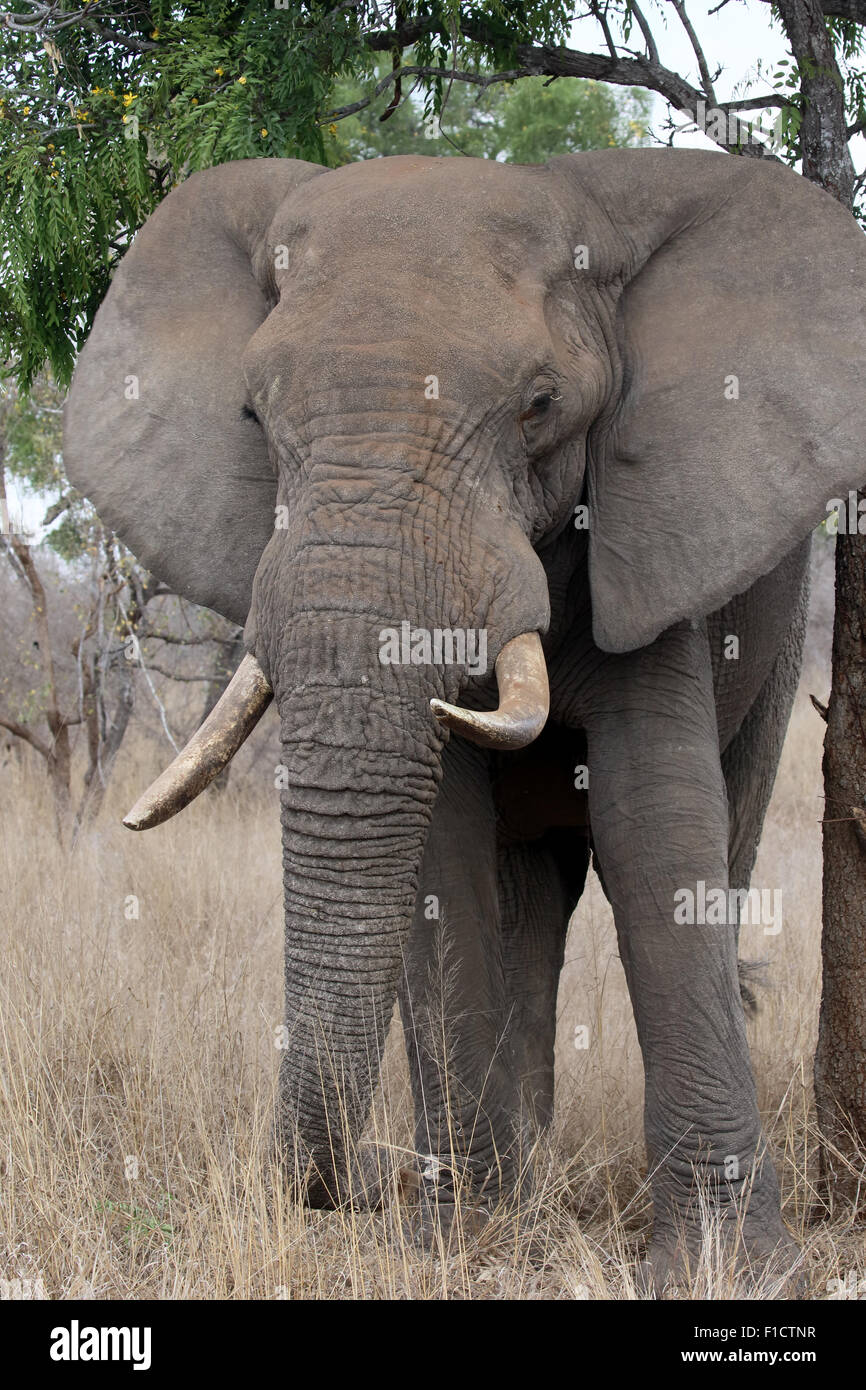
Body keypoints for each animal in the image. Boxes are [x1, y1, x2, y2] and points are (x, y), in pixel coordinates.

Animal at [64, 149, 866, 1278]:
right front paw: (459, 1241)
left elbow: (655, 829)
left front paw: (724, 1272)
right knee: (523, 895)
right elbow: (441, 853)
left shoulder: (653, 550)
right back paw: (512, 1196)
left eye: (540, 405)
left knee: (726, 831)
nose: (357, 1183)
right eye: (254, 420)